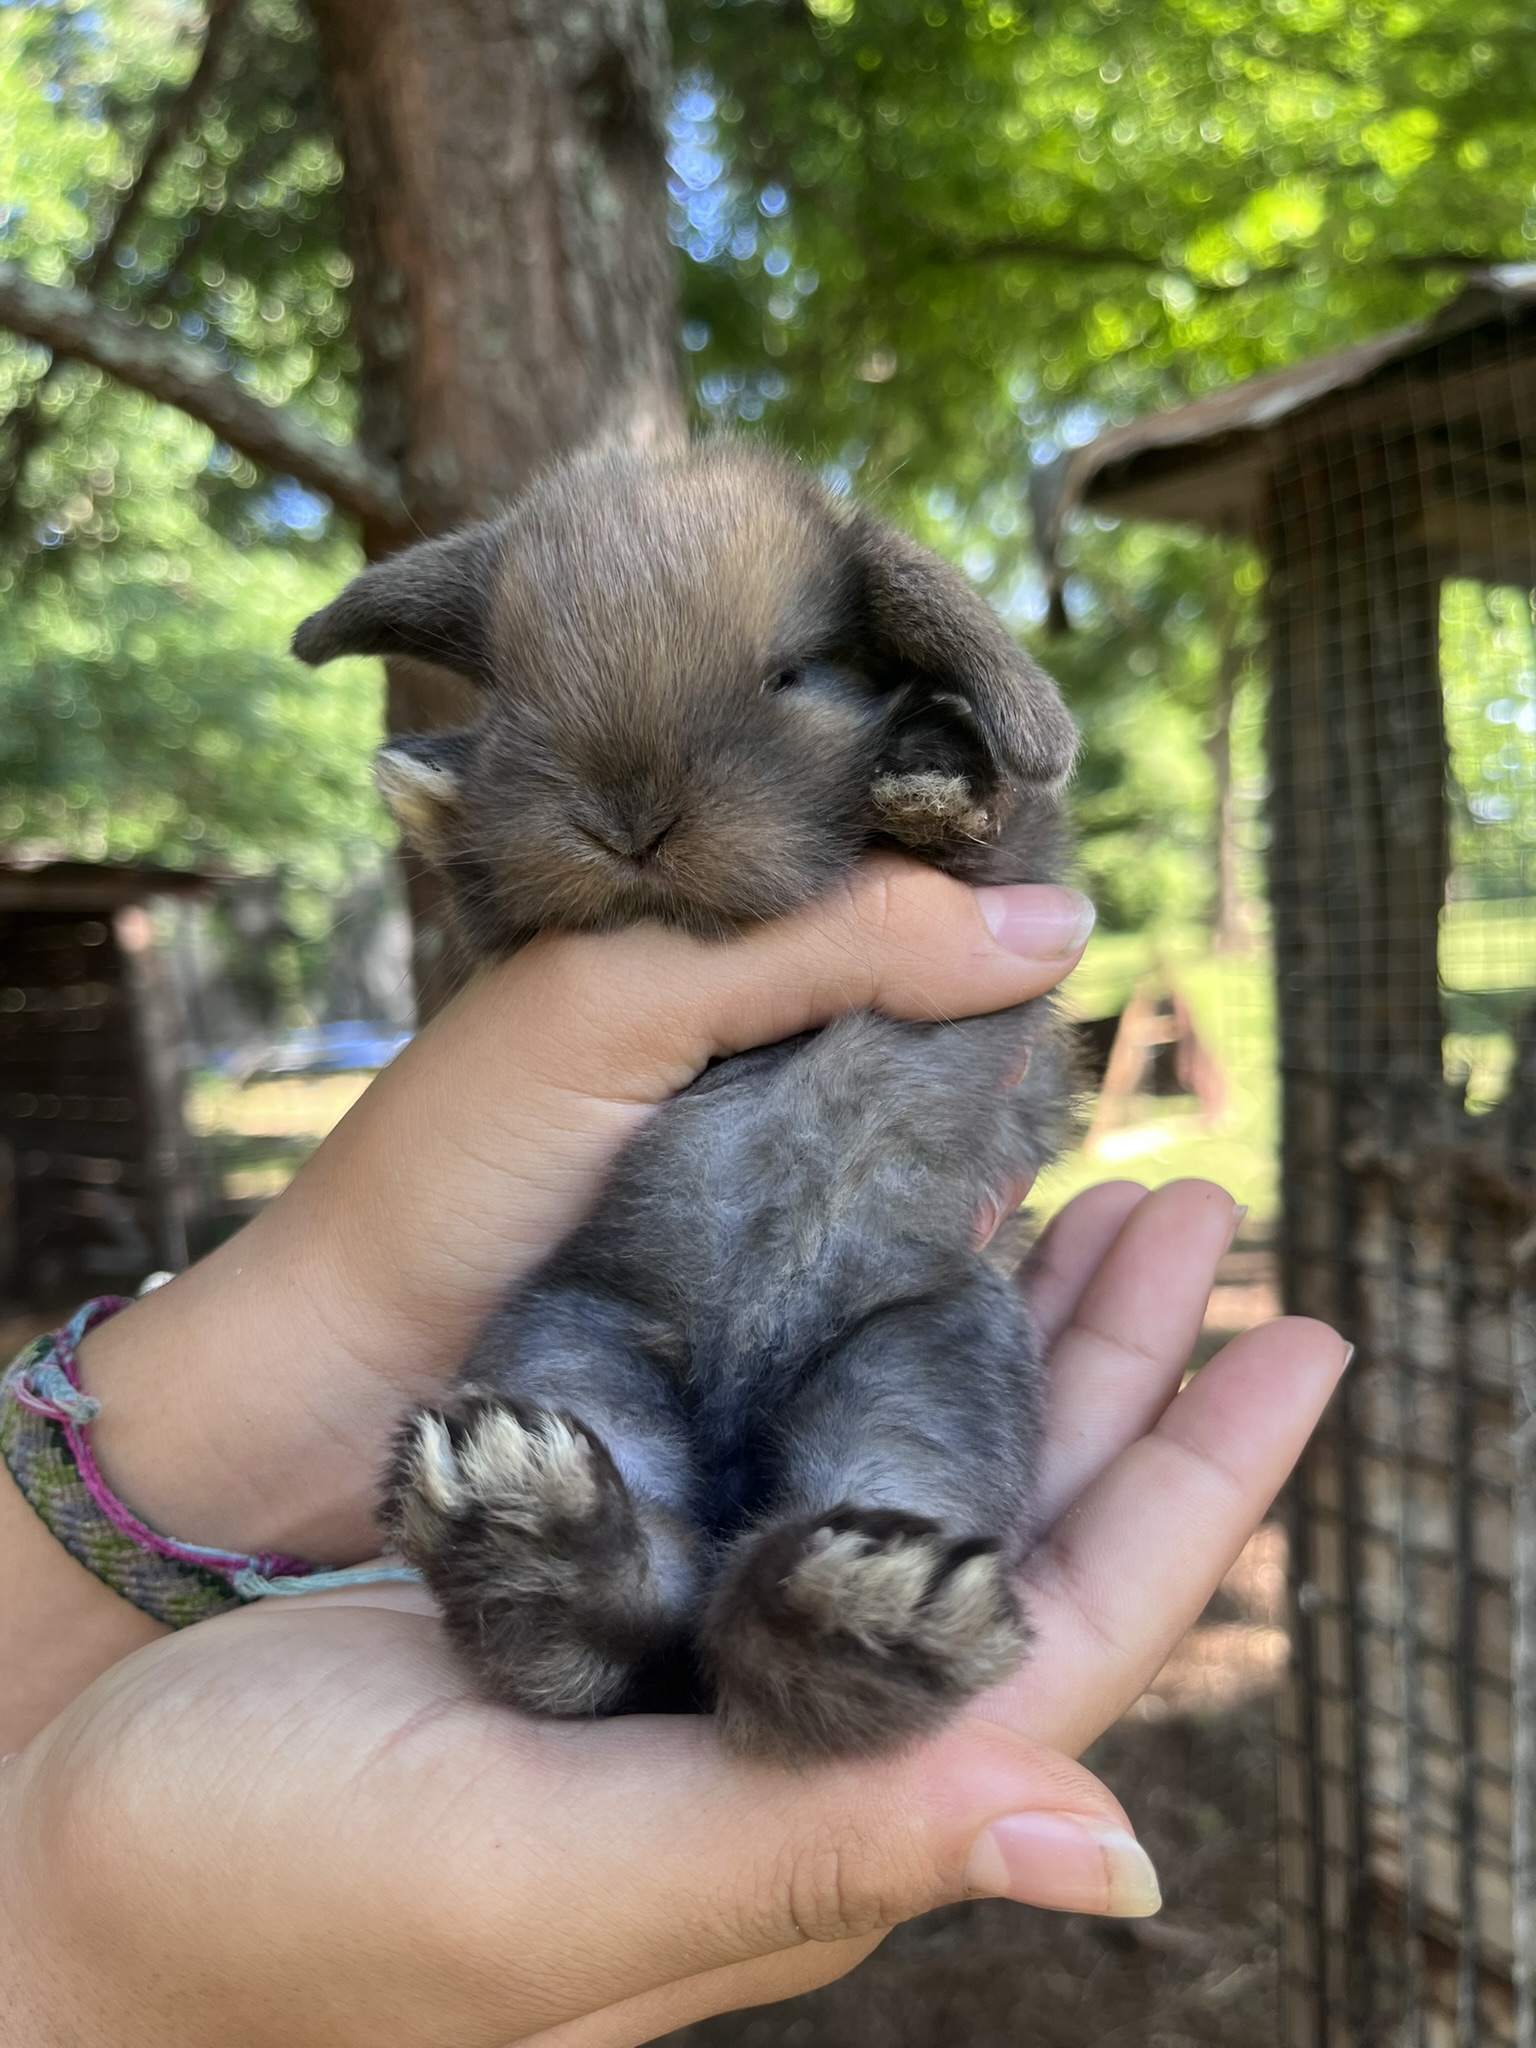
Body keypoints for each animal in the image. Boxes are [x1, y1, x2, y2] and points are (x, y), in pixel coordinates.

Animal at [292, 439, 1079, 1762]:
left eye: (793, 672)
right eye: (513, 691)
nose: (628, 818)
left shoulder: (1017, 889)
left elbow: (1002, 827)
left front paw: (928, 762)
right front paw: (429, 789)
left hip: (926, 1362)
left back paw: (874, 1601)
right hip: (578, 1340)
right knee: (636, 1621)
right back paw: (527, 1519)